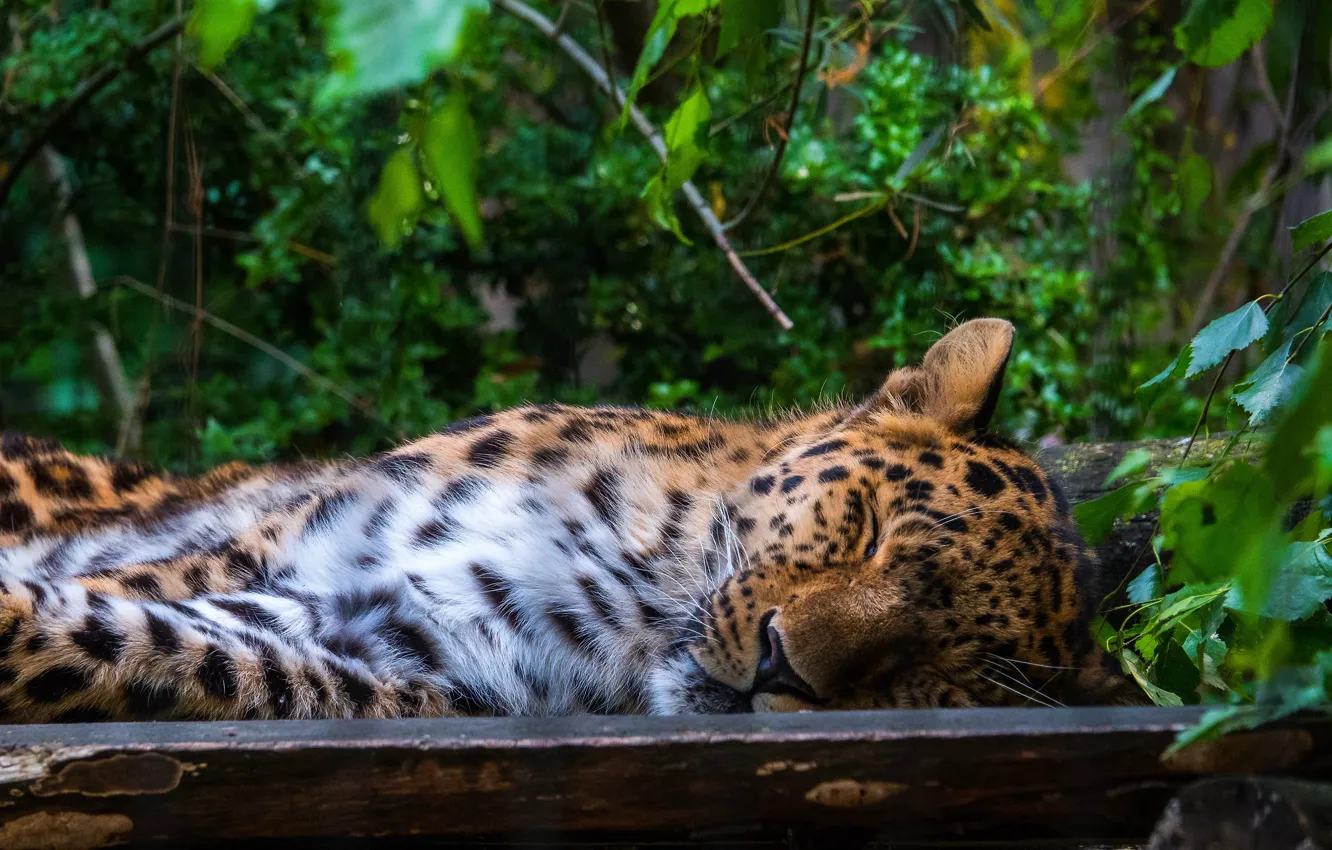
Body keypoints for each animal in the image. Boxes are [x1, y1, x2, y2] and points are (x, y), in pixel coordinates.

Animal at [0, 318, 1137, 722]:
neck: (639, 585)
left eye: (935, 669)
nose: (783, 668)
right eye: (864, 528)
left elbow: (116, 646)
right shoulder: (275, 550)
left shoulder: (379, 655)